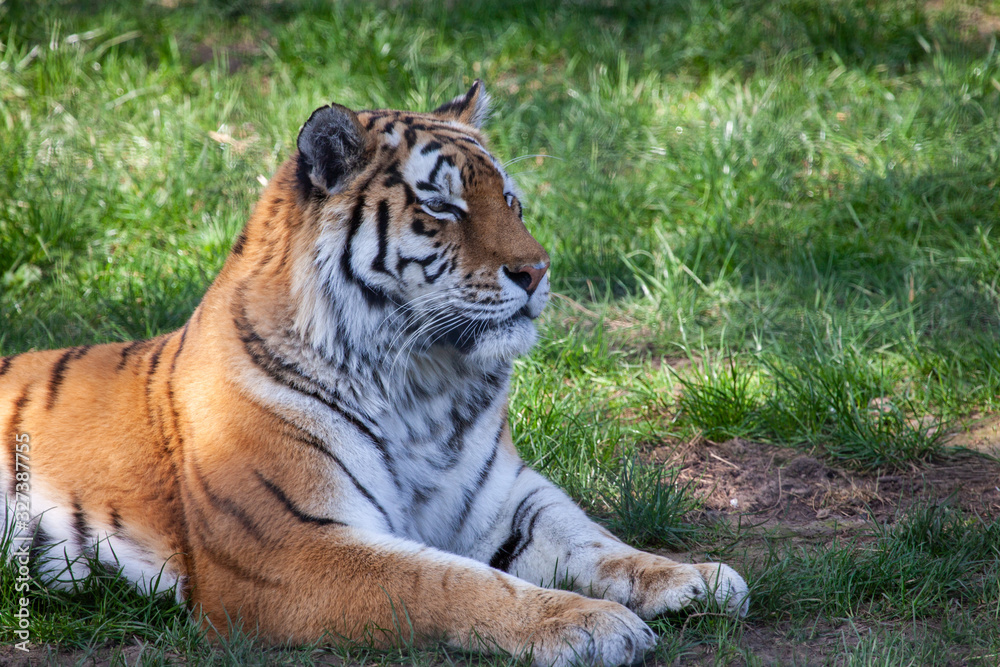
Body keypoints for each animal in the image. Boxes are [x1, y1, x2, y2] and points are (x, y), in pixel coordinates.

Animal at [1, 81, 748, 666]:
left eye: (510, 202)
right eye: (443, 206)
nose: (537, 272)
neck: (425, 383)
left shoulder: (505, 504)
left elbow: (597, 541)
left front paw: (697, 578)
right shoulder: (290, 549)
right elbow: (449, 583)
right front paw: (591, 623)